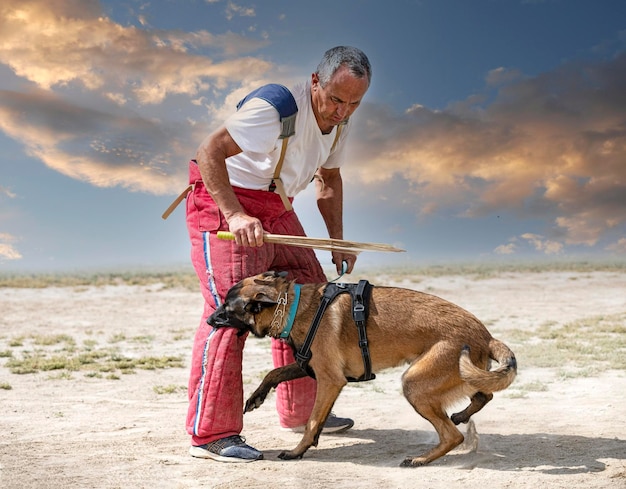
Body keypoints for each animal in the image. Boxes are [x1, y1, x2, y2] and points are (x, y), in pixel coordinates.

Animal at [207, 270, 516, 466]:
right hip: (454, 377)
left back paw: (421, 459)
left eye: (227, 308)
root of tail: (485, 335)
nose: (209, 319)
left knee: (454, 434)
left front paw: (297, 451)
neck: (292, 306)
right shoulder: (310, 367)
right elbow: (275, 374)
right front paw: (255, 398)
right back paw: (462, 415)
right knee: (484, 395)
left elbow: (312, 420)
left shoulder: (330, 379)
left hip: (414, 384)